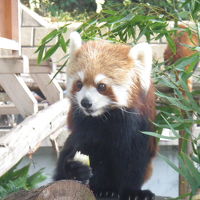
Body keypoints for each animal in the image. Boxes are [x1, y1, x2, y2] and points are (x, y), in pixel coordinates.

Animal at [54, 32, 157, 199]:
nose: (85, 102)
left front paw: (133, 192)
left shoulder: (138, 131)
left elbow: (134, 163)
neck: (105, 118)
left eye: (101, 86)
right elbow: (82, 148)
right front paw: (78, 171)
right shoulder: (85, 129)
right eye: (79, 84)